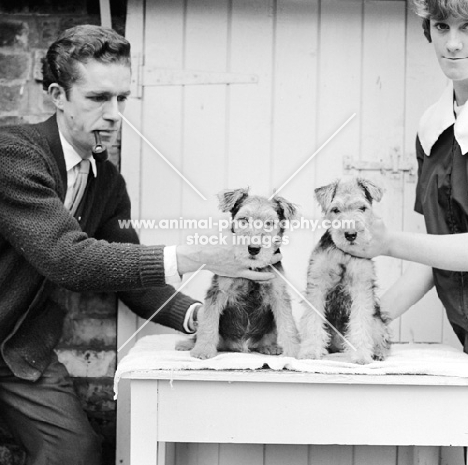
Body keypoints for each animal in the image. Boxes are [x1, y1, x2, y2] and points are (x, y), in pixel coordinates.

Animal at [176, 188, 300, 358]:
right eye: (244, 219)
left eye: (269, 223)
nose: (253, 249)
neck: (252, 268)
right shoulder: (217, 292)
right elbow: (208, 324)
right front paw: (203, 350)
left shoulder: (279, 293)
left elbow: (288, 325)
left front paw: (294, 352)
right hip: (202, 316)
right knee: (199, 332)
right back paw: (186, 344)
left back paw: (270, 346)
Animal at [300, 177, 392, 362]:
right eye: (336, 210)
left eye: (362, 208)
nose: (350, 235)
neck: (343, 253)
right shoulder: (317, 285)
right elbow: (312, 321)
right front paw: (310, 350)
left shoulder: (361, 288)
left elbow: (360, 323)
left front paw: (361, 355)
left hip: (377, 320)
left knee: (382, 337)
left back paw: (378, 352)